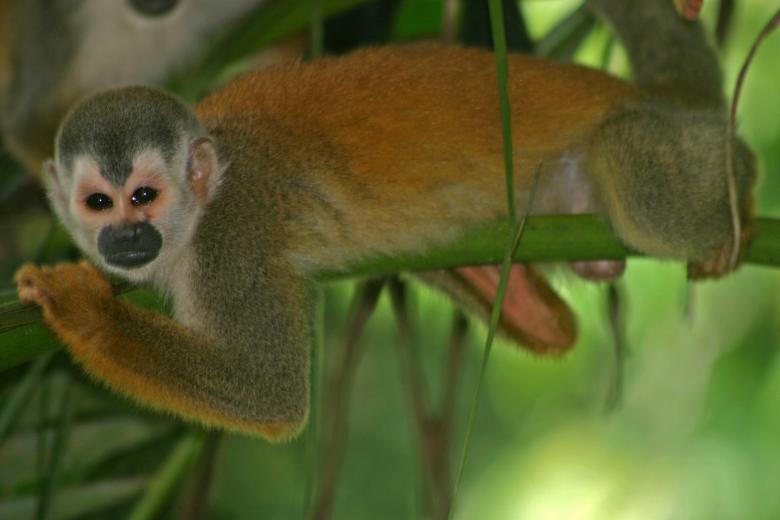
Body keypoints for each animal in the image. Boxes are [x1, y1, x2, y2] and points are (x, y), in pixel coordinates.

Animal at [14, 0, 758, 440]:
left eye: (143, 196)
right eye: (99, 203)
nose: (124, 236)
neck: (201, 207)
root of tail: (651, 93)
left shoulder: (236, 238)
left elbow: (269, 394)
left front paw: (82, 308)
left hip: (664, 139)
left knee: (635, 173)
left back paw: (739, 197)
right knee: (543, 305)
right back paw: (522, 295)